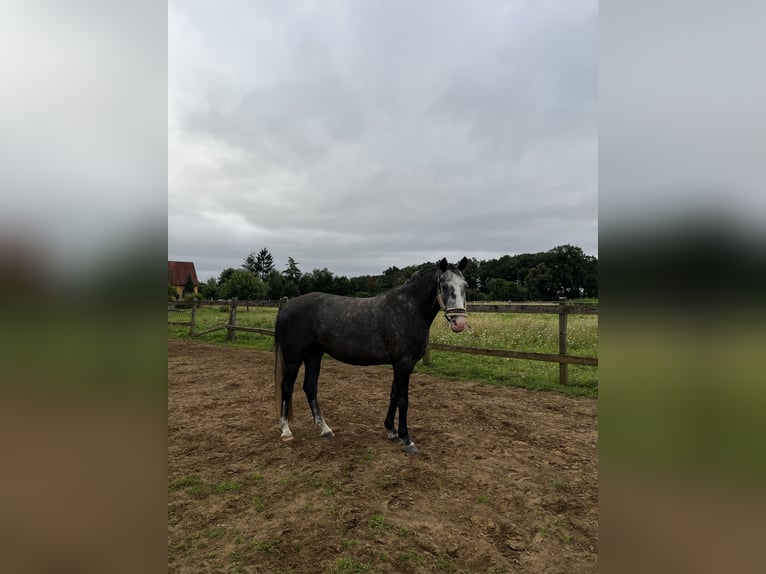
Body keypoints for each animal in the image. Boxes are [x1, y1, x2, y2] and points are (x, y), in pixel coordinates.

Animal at [272, 258, 472, 456]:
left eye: (465, 286)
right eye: (444, 286)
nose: (460, 323)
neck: (408, 310)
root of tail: (287, 306)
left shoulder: (399, 364)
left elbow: (393, 395)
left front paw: (391, 431)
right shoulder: (403, 364)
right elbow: (403, 400)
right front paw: (407, 439)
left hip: (314, 355)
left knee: (310, 387)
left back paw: (325, 429)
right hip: (293, 358)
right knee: (287, 387)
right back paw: (286, 431)